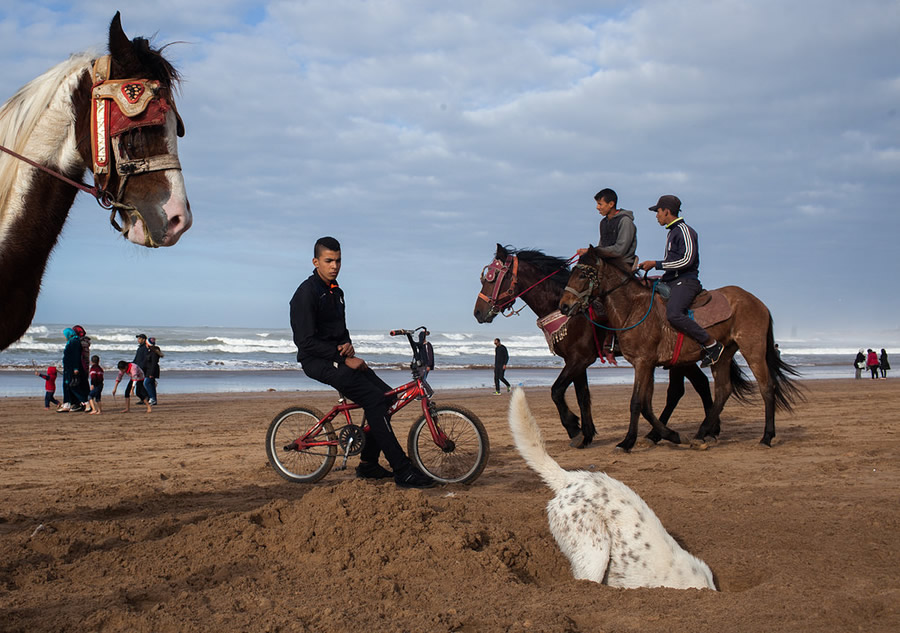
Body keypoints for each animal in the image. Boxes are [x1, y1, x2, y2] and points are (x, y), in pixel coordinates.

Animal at [474, 244, 740, 446]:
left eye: (492, 278)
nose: (478, 312)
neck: (563, 306)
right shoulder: (576, 361)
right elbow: (582, 395)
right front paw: (587, 434)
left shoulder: (579, 359)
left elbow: (557, 391)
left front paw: (574, 429)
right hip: (680, 359)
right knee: (696, 385)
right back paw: (699, 430)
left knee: (687, 389)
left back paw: (686, 432)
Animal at [556, 247, 800, 450]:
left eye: (582, 275)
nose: (564, 306)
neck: (632, 309)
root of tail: (759, 303)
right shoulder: (646, 364)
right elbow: (646, 405)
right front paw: (670, 435)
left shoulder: (643, 362)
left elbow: (636, 403)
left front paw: (627, 442)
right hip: (723, 355)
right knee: (722, 390)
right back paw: (701, 435)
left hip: (752, 349)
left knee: (766, 387)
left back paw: (766, 437)